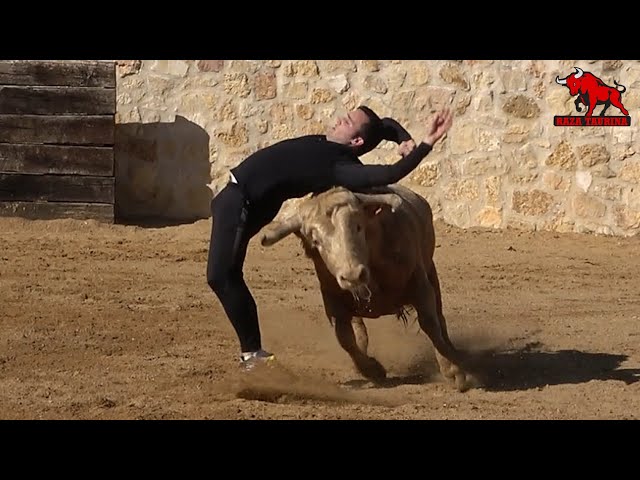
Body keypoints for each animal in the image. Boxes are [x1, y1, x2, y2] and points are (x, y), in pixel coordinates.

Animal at [259, 184, 473, 392]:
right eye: (316, 241)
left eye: (358, 227)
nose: (353, 276)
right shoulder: (332, 301)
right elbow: (345, 338)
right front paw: (372, 369)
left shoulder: (419, 284)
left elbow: (430, 323)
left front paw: (453, 371)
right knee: (359, 332)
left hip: (431, 272)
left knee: (440, 318)